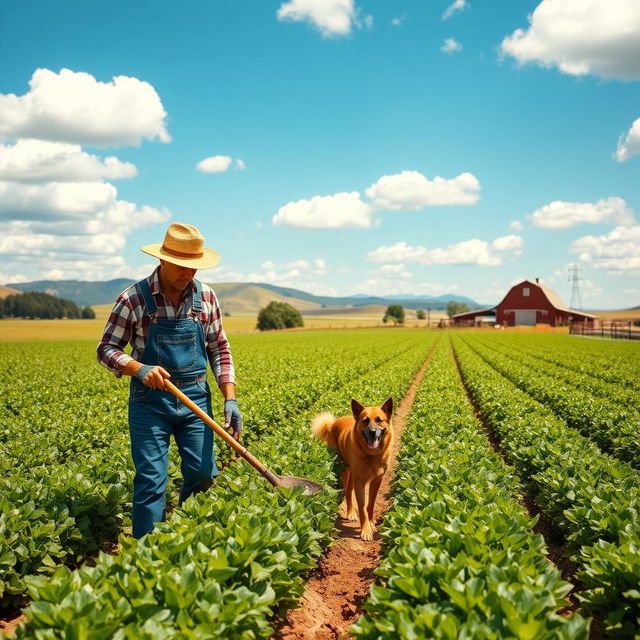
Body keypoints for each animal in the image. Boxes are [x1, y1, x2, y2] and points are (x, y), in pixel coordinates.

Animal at [312, 400, 392, 540]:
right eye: (365, 420)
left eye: (379, 420)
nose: (372, 432)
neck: (371, 455)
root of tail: (332, 424)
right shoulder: (359, 480)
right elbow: (362, 507)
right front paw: (365, 530)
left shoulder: (377, 480)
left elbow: (370, 504)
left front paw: (371, 524)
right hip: (343, 470)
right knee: (347, 492)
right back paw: (350, 512)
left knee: (349, 490)